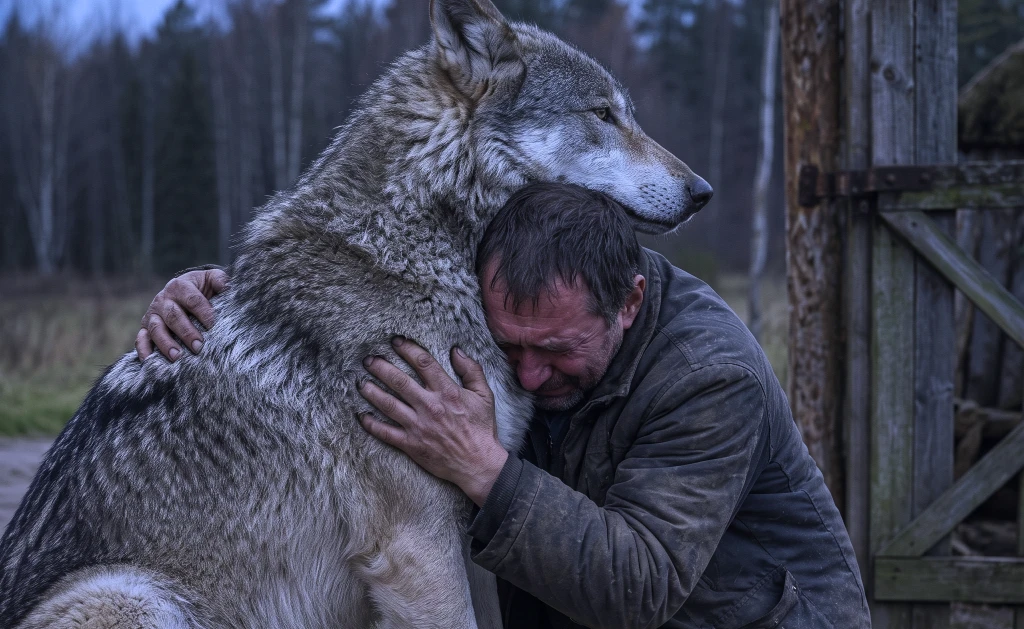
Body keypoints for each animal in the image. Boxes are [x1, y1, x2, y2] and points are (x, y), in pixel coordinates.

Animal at [0, 0, 711, 627]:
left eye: (625, 114)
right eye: (603, 114)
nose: (703, 191)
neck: (415, 251)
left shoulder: (476, 514)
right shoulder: (416, 540)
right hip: (133, 597)